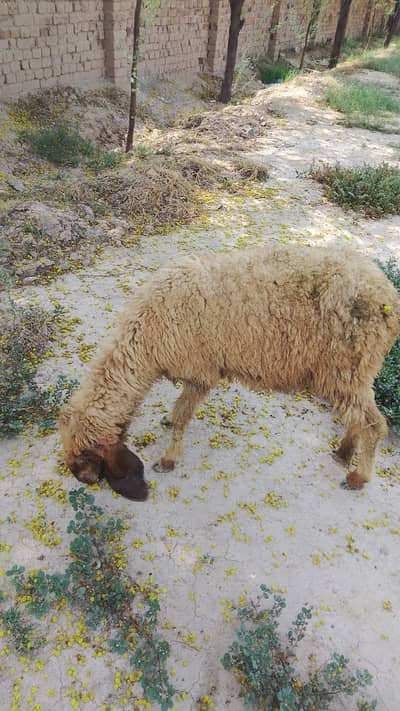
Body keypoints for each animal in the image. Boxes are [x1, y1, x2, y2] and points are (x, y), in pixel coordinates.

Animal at [60, 243, 400, 499]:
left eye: (85, 456)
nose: (88, 481)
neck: (147, 336)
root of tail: (388, 297)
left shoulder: (200, 373)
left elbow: (183, 416)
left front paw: (168, 460)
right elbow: (178, 411)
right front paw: (167, 422)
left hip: (347, 369)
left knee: (373, 424)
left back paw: (358, 477)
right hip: (351, 374)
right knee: (358, 417)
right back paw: (343, 453)